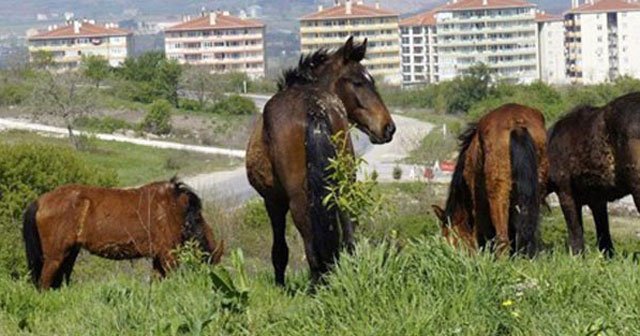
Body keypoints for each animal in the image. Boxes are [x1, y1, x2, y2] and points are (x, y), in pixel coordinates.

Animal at [22, 177, 224, 290]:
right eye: (197, 217)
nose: (214, 256)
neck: (171, 209)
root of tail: (40, 201)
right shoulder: (168, 255)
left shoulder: (158, 258)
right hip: (55, 257)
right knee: (44, 285)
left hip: (70, 254)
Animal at [245, 37, 396, 286]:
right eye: (358, 82)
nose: (388, 127)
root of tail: (313, 107)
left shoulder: (272, 200)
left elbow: (280, 250)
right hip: (343, 186)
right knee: (347, 231)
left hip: (297, 199)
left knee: (309, 241)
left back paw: (317, 283)